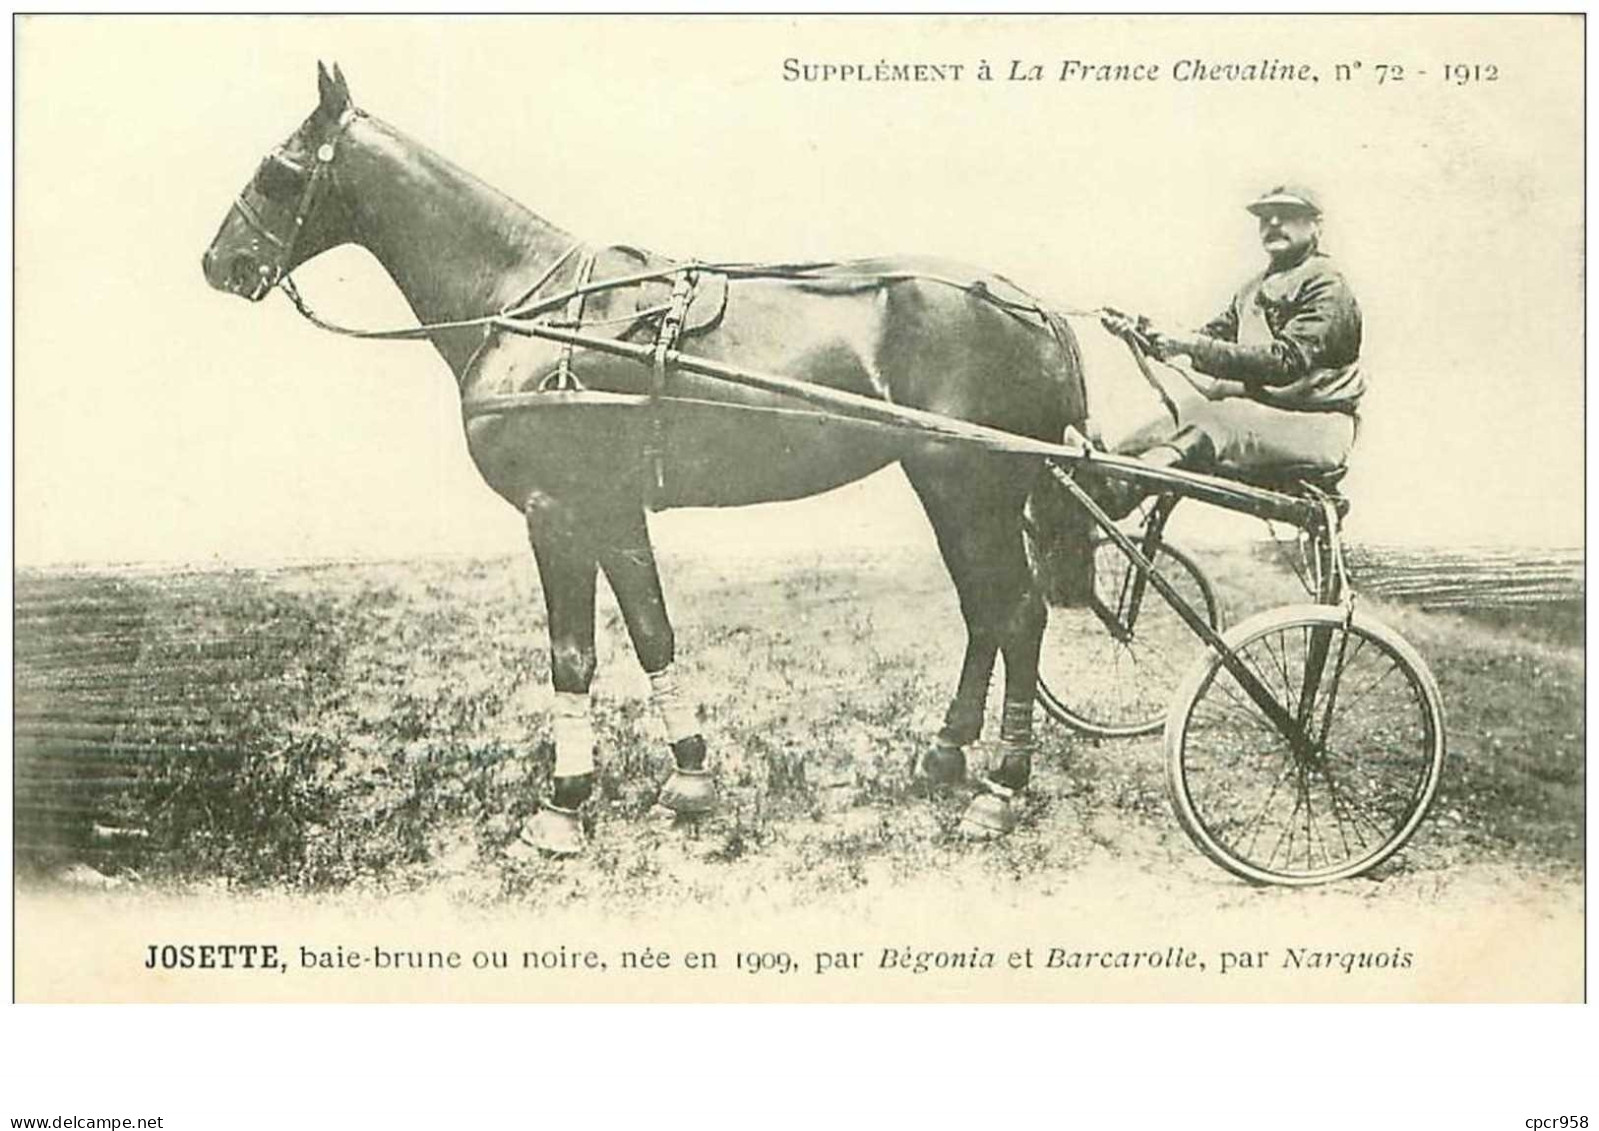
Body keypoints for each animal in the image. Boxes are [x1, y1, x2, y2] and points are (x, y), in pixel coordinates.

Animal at [199, 66, 1093, 851]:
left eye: (277, 172)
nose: (219, 264)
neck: (534, 307)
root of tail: (1032, 305)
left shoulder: (556, 510)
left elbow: (572, 655)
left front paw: (562, 804)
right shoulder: (610, 508)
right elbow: (652, 632)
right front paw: (690, 777)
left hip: (969, 487)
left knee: (1016, 613)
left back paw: (1001, 786)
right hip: (944, 486)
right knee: (984, 614)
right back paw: (946, 756)